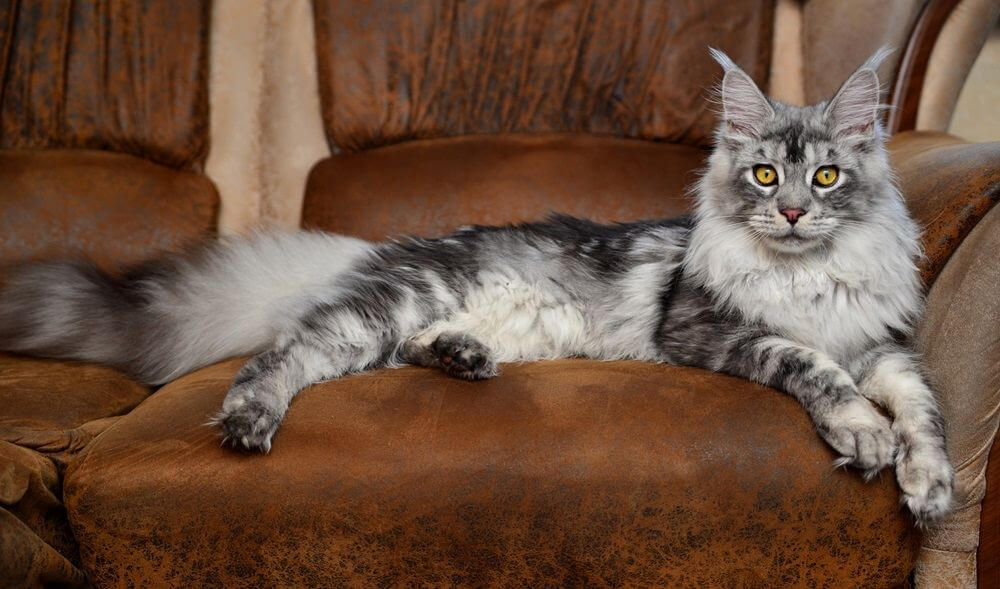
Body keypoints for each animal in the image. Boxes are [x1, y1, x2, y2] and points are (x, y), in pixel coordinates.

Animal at [0, 48, 952, 520]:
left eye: (824, 178)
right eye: (762, 176)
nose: (790, 212)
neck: (808, 280)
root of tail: (380, 247)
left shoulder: (882, 346)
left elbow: (924, 406)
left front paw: (929, 482)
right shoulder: (710, 329)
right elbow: (809, 364)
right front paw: (863, 435)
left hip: (463, 324)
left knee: (403, 351)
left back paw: (463, 355)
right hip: (382, 309)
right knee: (283, 356)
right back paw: (248, 421)